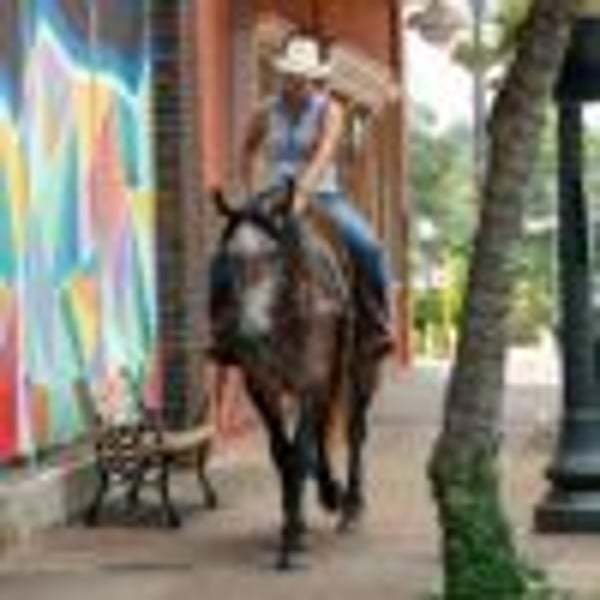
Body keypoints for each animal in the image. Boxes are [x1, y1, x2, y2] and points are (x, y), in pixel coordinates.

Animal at [207, 182, 384, 569]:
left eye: (274, 256)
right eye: (229, 259)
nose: (248, 334)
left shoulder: (311, 382)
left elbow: (300, 452)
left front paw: (293, 538)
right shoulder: (261, 386)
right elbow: (283, 453)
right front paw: (293, 523)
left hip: (362, 368)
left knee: (355, 431)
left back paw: (351, 506)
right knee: (322, 432)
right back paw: (330, 493)